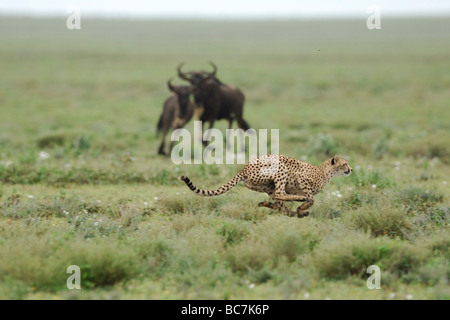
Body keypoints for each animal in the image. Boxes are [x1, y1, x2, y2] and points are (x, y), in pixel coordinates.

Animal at [178, 154, 352, 218]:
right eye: (345, 164)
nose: (351, 169)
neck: (326, 172)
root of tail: (244, 167)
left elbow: (309, 200)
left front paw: (300, 210)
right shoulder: (301, 178)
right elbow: (311, 198)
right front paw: (302, 206)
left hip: (266, 186)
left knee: (278, 201)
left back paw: (268, 204)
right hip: (281, 168)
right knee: (281, 194)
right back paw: (297, 203)